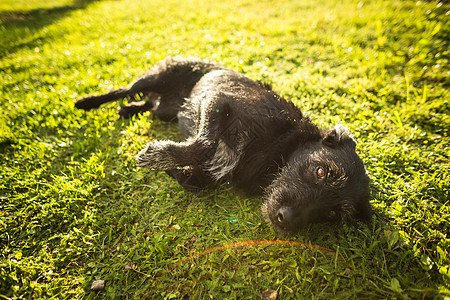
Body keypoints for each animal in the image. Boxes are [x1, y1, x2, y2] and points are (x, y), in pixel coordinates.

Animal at [76, 56, 372, 234]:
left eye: (332, 214)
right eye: (321, 171)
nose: (286, 219)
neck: (277, 149)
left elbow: (195, 181)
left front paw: (172, 166)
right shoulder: (218, 100)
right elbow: (205, 143)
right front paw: (159, 154)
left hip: (163, 111)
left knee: (149, 104)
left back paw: (130, 109)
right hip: (157, 76)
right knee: (125, 89)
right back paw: (87, 102)